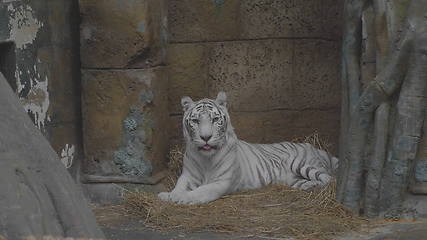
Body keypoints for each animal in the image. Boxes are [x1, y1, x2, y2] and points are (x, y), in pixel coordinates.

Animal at [159, 92, 340, 204]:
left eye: (215, 119)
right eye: (196, 121)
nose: (205, 137)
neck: (206, 158)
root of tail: (316, 147)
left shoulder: (222, 181)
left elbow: (202, 190)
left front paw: (182, 198)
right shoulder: (188, 176)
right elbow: (179, 186)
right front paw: (169, 195)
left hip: (302, 164)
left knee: (329, 179)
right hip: (293, 179)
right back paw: (312, 187)